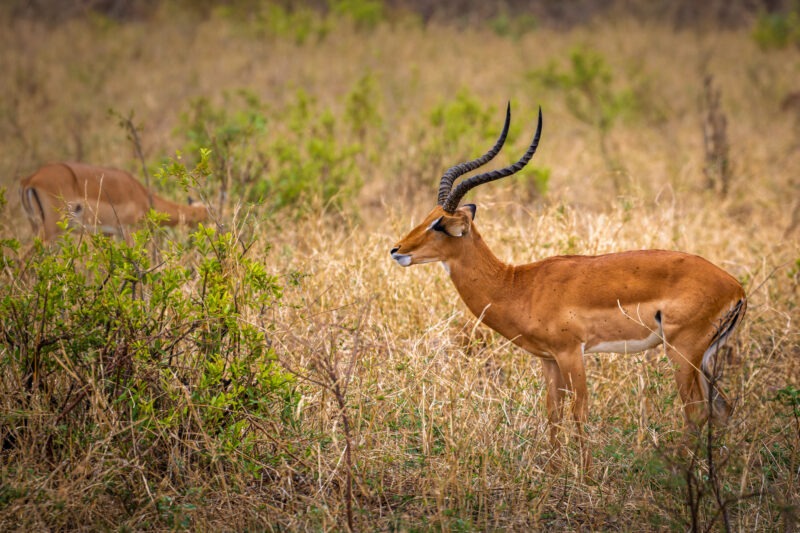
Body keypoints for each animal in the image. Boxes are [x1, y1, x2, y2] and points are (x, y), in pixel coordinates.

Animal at [19, 160, 209, 239]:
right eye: (207, 217)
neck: (143, 198)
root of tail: (30, 179)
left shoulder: (108, 233)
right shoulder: (130, 230)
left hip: (35, 225)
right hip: (50, 229)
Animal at [390, 105, 748, 466]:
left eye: (440, 224)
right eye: (428, 215)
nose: (396, 250)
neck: (517, 285)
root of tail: (736, 287)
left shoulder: (571, 353)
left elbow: (580, 412)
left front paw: (585, 474)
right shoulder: (548, 360)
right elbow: (553, 413)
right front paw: (553, 469)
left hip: (682, 352)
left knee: (696, 412)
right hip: (704, 356)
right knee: (722, 408)